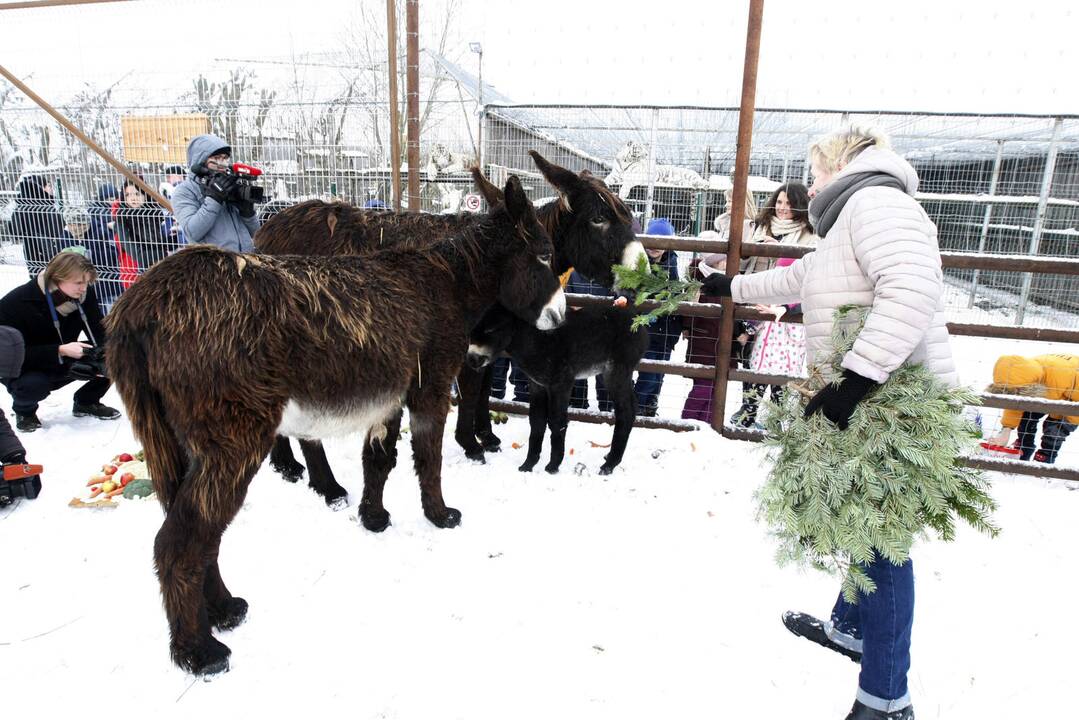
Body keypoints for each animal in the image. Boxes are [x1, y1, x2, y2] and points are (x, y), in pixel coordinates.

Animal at [106, 179, 565, 677]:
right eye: (544, 254)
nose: (561, 317)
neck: (448, 282)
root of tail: (139, 306)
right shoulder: (430, 388)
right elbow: (430, 458)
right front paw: (440, 515)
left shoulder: (388, 396)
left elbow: (380, 459)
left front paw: (374, 518)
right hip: (233, 438)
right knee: (181, 541)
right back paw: (198, 651)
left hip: (172, 440)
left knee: (198, 534)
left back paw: (224, 611)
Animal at [466, 302, 647, 474]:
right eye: (472, 331)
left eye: (491, 329)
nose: (471, 360)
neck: (535, 339)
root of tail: (639, 323)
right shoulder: (537, 385)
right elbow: (537, 422)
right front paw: (528, 465)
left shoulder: (561, 384)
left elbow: (556, 421)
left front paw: (553, 466)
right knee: (633, 407)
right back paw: (609, 458)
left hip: (616, 373)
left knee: (626, 412)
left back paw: (609, 466)